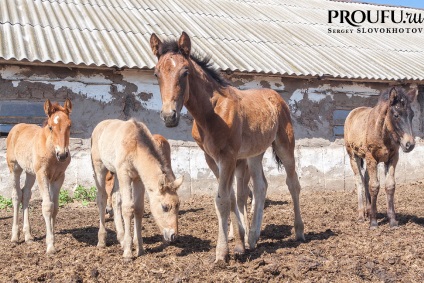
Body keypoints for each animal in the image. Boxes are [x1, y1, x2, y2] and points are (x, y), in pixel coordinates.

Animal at [151, 31, 304, 264]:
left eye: (185, 72)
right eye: (157, 73)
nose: (169, 116)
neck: (210, 113)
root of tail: (276, 97)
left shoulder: (228, 157)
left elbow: (223, 199)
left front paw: (222, 253)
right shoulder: (211, 158)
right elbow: (231, 197)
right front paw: (239, 243)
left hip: (285, 145)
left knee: (292, 183)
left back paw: (299, 231)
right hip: (255, 153)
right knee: (260, 187)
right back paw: (253, 238)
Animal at [344, 87, 418, 230]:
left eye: (412, 115)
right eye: (396, 115)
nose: (409, 144)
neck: (383, 133)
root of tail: (353, 112)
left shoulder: (392, 158)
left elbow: (389, 186)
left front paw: (392, 221)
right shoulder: (371, 158)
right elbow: (374, 186)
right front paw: (373, 222)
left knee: (365, 178)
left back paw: (368, 210)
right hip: (353, 155)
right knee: (359, 180)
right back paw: (361, 215)